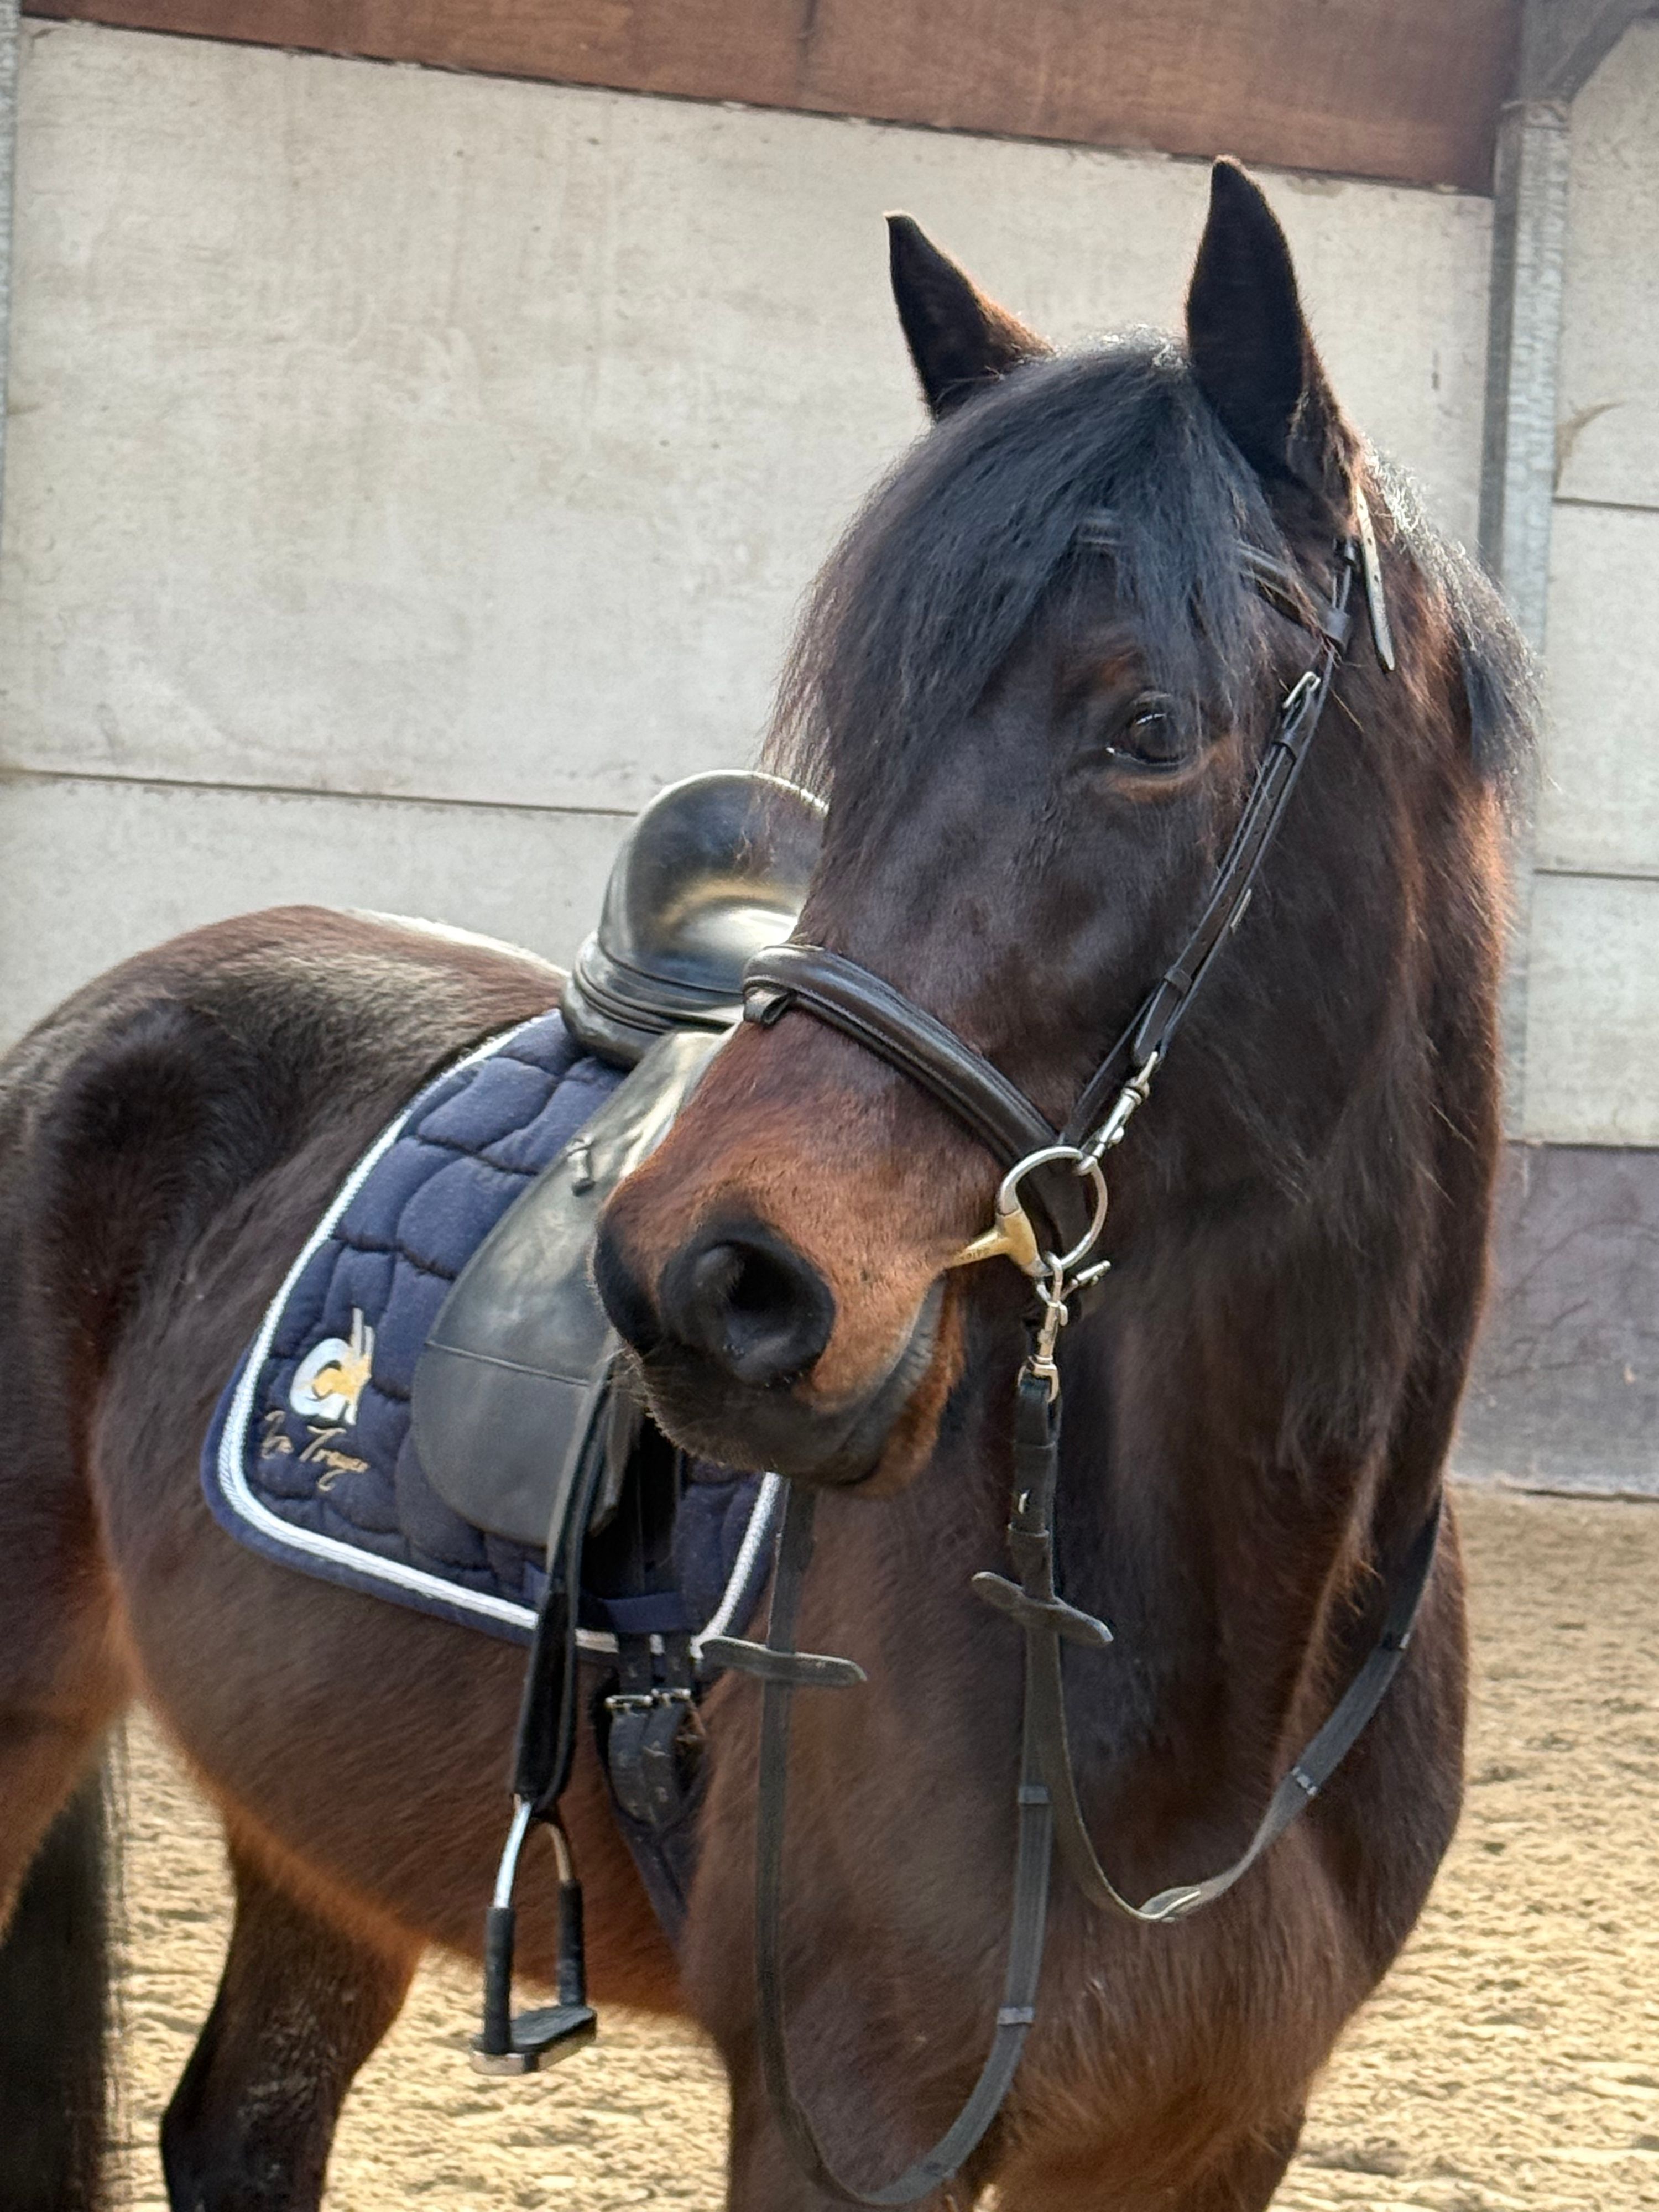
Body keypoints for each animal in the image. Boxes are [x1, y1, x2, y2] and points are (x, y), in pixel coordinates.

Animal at [0, 158, 1529, 2212]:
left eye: (1147, 728)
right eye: (857, 740)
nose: (698, 1285)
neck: (1219, 1669)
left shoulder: (1210, 2138)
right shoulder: (841, 2127)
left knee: (241, 2128)